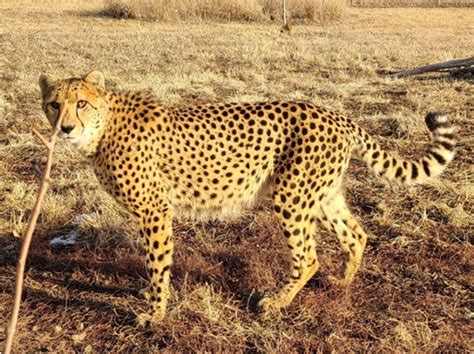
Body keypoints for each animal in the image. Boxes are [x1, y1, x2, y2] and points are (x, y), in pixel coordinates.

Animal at [39, 70, 456, 324]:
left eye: (81, 103)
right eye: (54, 104)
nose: (65, 128)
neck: (103, 127)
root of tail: (334, 114)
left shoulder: (155, 210)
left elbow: (157, 261)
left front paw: (155, 312)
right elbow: (152, 262)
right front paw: (149, 295)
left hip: (291, 197)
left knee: (308, 257)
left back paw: (276, 302)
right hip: (321, 196)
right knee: (355, 233)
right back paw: (342, 282)